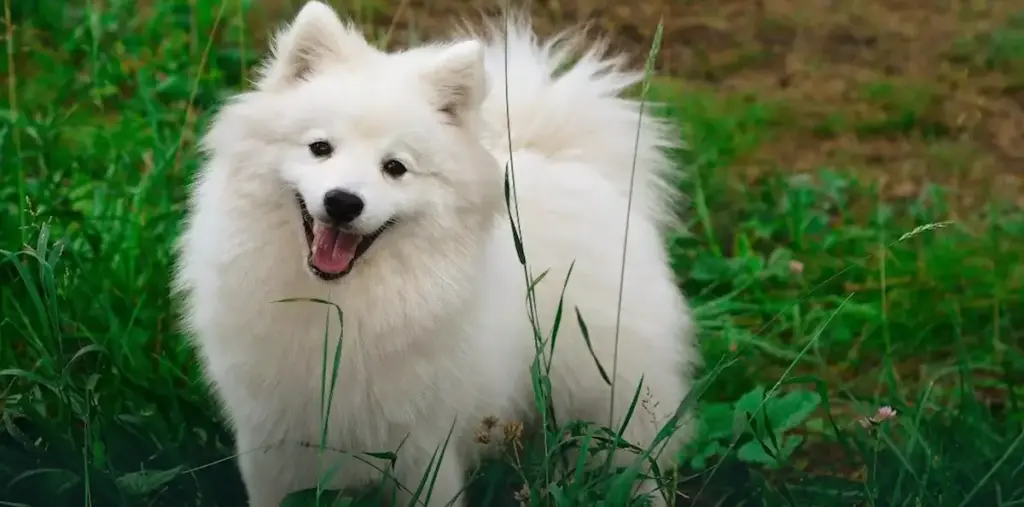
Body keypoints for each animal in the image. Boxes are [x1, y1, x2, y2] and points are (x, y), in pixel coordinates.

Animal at [176, 1, 700, 505]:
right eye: (320, 147)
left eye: (395, 168)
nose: (343, 202)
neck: (339, 306)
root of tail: (563, 158)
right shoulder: (272, 443)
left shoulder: (423, 450)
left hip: (612, 397)